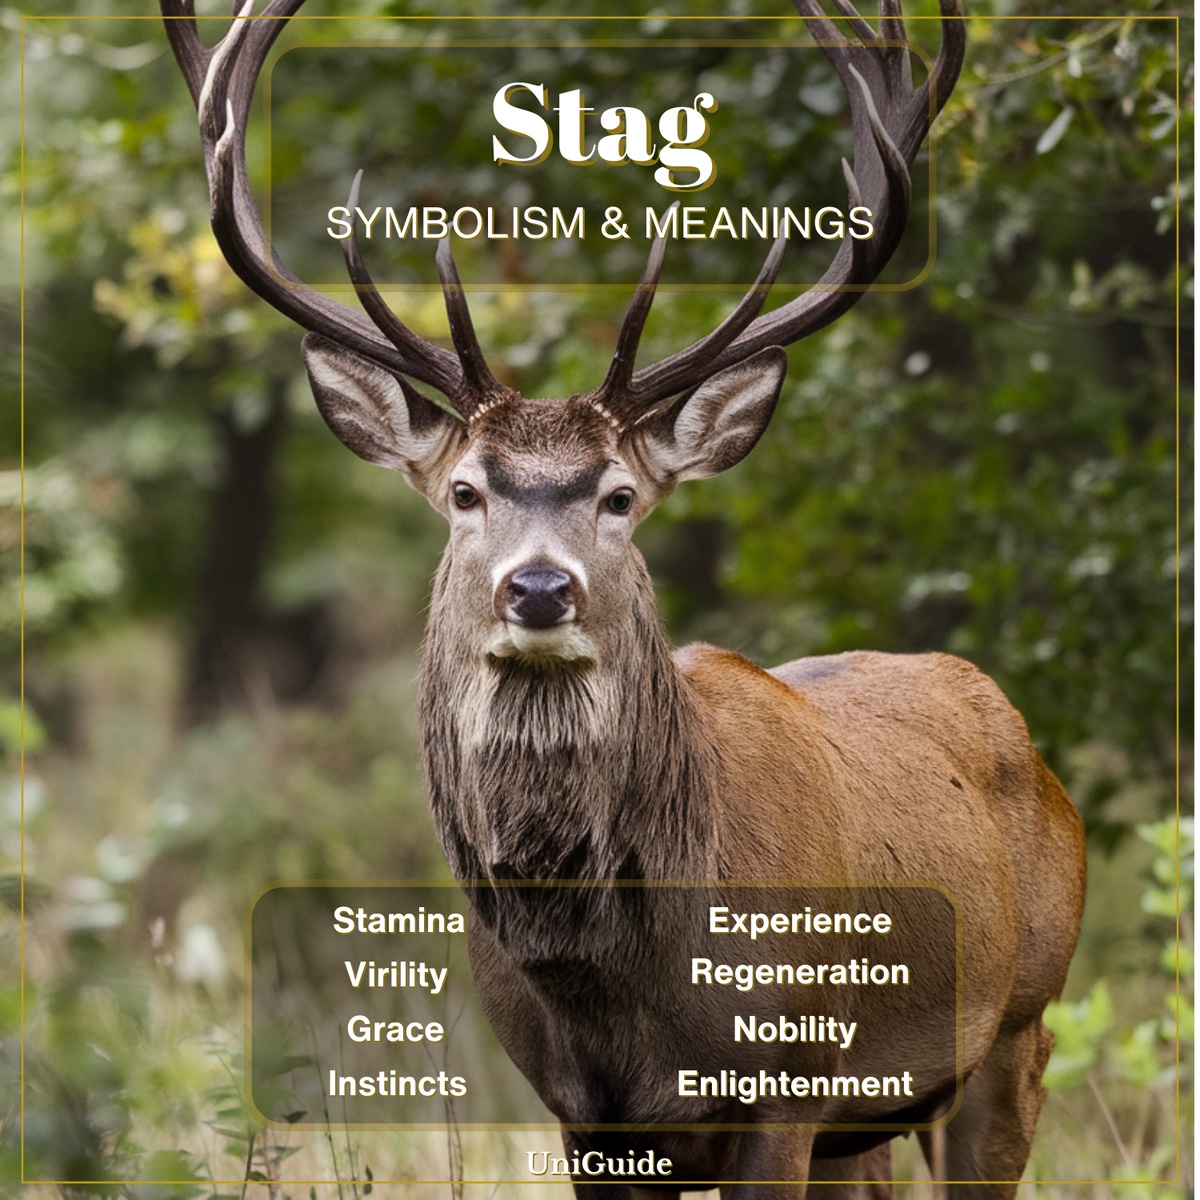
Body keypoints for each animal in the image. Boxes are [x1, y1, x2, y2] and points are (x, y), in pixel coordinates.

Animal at [161, 0, 1087, 1195]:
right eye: (464, 491)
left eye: (619, 496)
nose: (539, 586)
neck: (617, 986)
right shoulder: (581, 1114)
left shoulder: (787, 1081)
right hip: (872, 1121)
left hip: (1021, 1022)